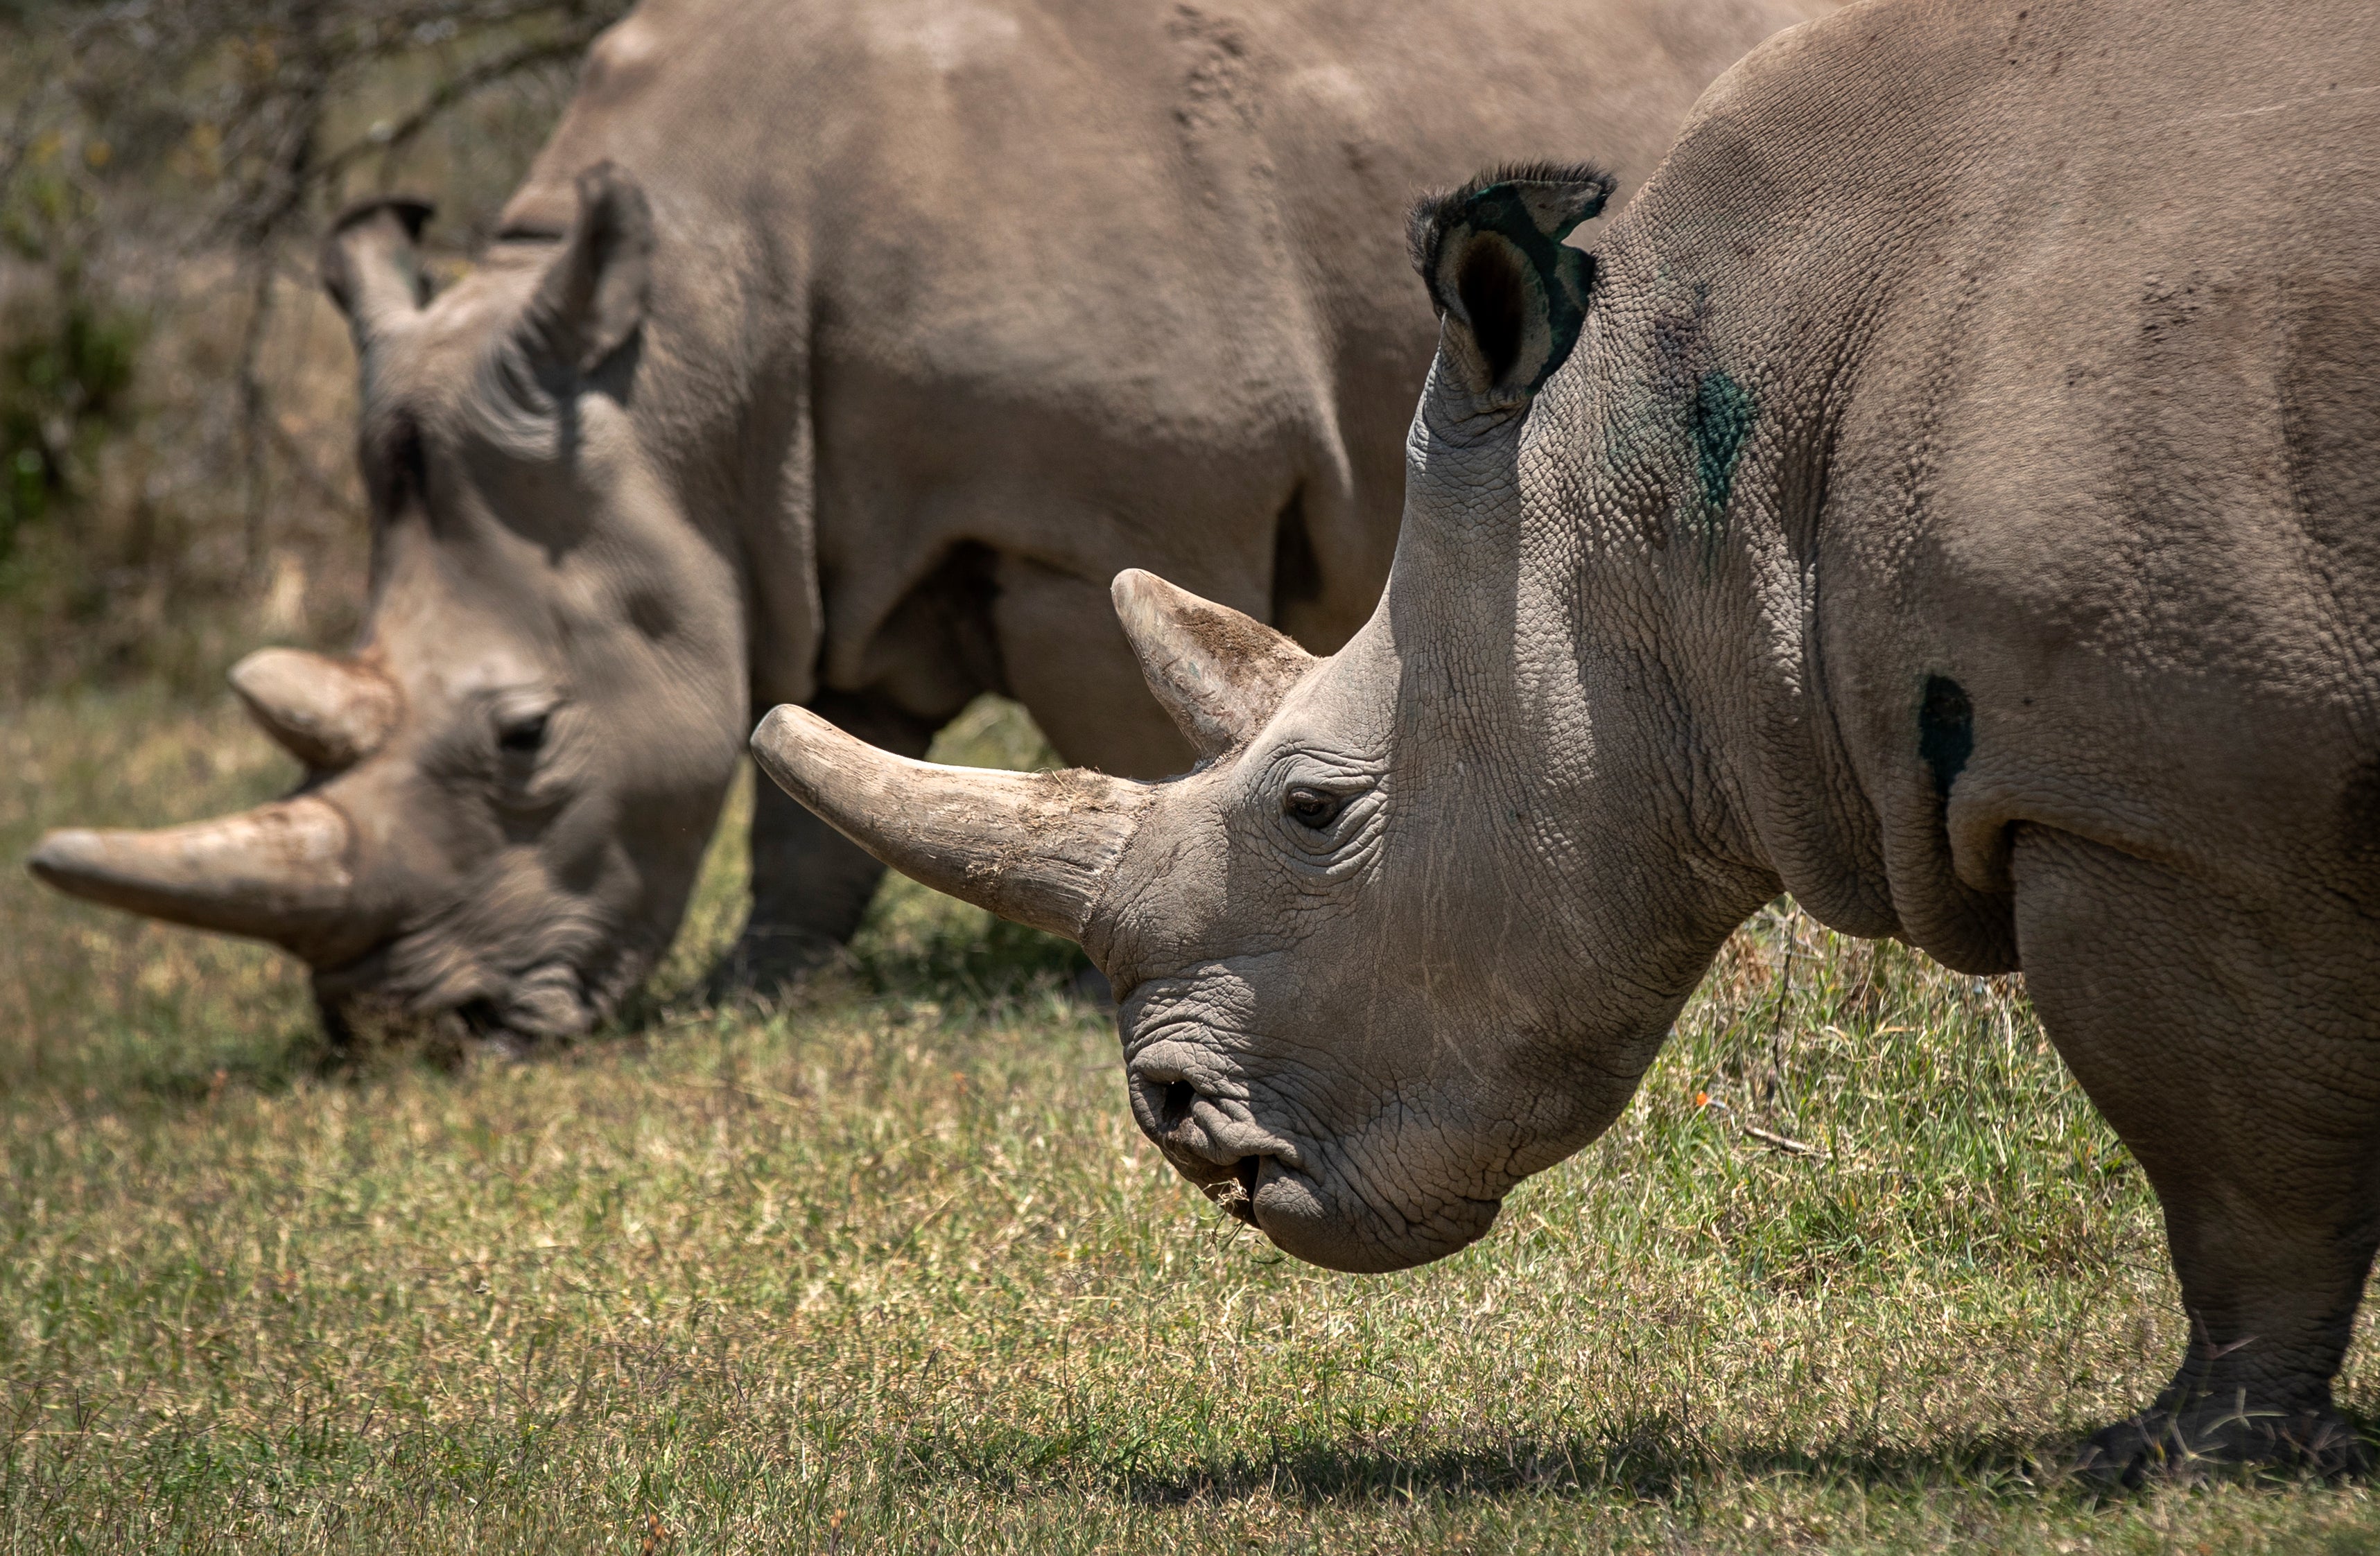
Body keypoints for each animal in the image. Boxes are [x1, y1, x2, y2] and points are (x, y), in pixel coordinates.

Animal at [24, 0, 1821, 1041]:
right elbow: (810, 764)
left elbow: (1111, 723)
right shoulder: (803, 519)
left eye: (526, 736)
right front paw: (765, 992)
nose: (413, 1031)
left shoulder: (1098, 504)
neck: (687, 351)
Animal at [750, 0, 2380, 1479]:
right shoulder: (2198, 793)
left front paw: (2180, 1454)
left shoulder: (2163, 812)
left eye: (1311, 808)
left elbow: (2233, 1159)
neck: (1689, 508)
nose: (1171, 1119)